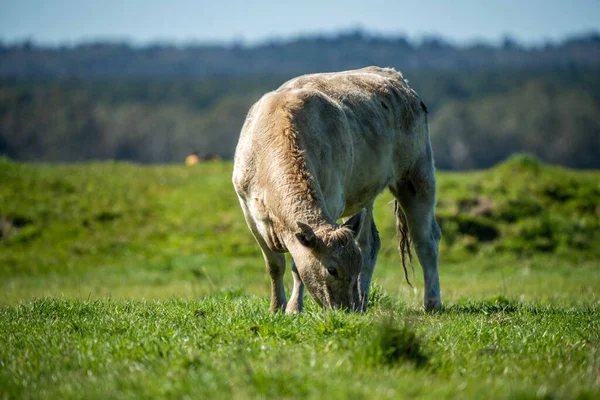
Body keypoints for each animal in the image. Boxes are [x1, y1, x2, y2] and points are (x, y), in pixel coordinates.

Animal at [232, 67, 442, 314]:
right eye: (332, 270)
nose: (347, 310)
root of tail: (393, 75)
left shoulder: (331, 201)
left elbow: (296, 268)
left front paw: (294, 308)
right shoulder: (249, 211)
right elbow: (275, 265)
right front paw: (276, 307)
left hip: (417, 174)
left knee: (425, 240)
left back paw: (432, 302)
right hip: (366, 192)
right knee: (370, 244)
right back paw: (364, 300)